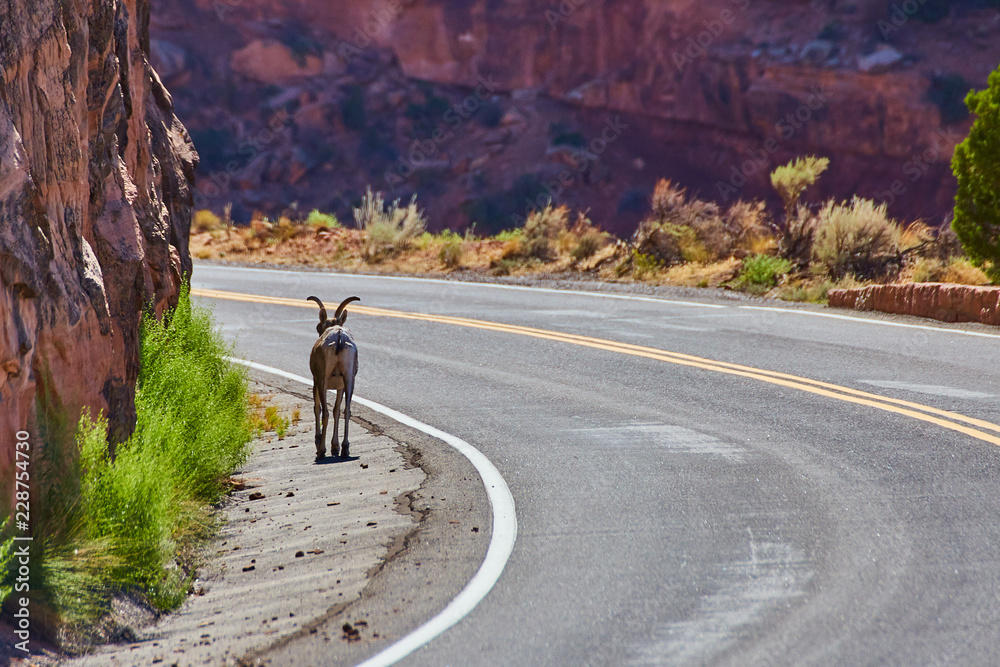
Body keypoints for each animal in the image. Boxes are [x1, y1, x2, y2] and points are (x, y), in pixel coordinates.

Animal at [307, 295, 361, 460]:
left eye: (318, 327)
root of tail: (339, 338)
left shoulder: (316, 381)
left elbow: (317, 408)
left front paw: (320, 443)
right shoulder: (340, 386)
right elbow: (337, 410)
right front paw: (335, 447)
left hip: (323, 381)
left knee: (325, 412)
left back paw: (321, 451)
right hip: (349, 380)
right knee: (347, 410)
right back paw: (345, 449)